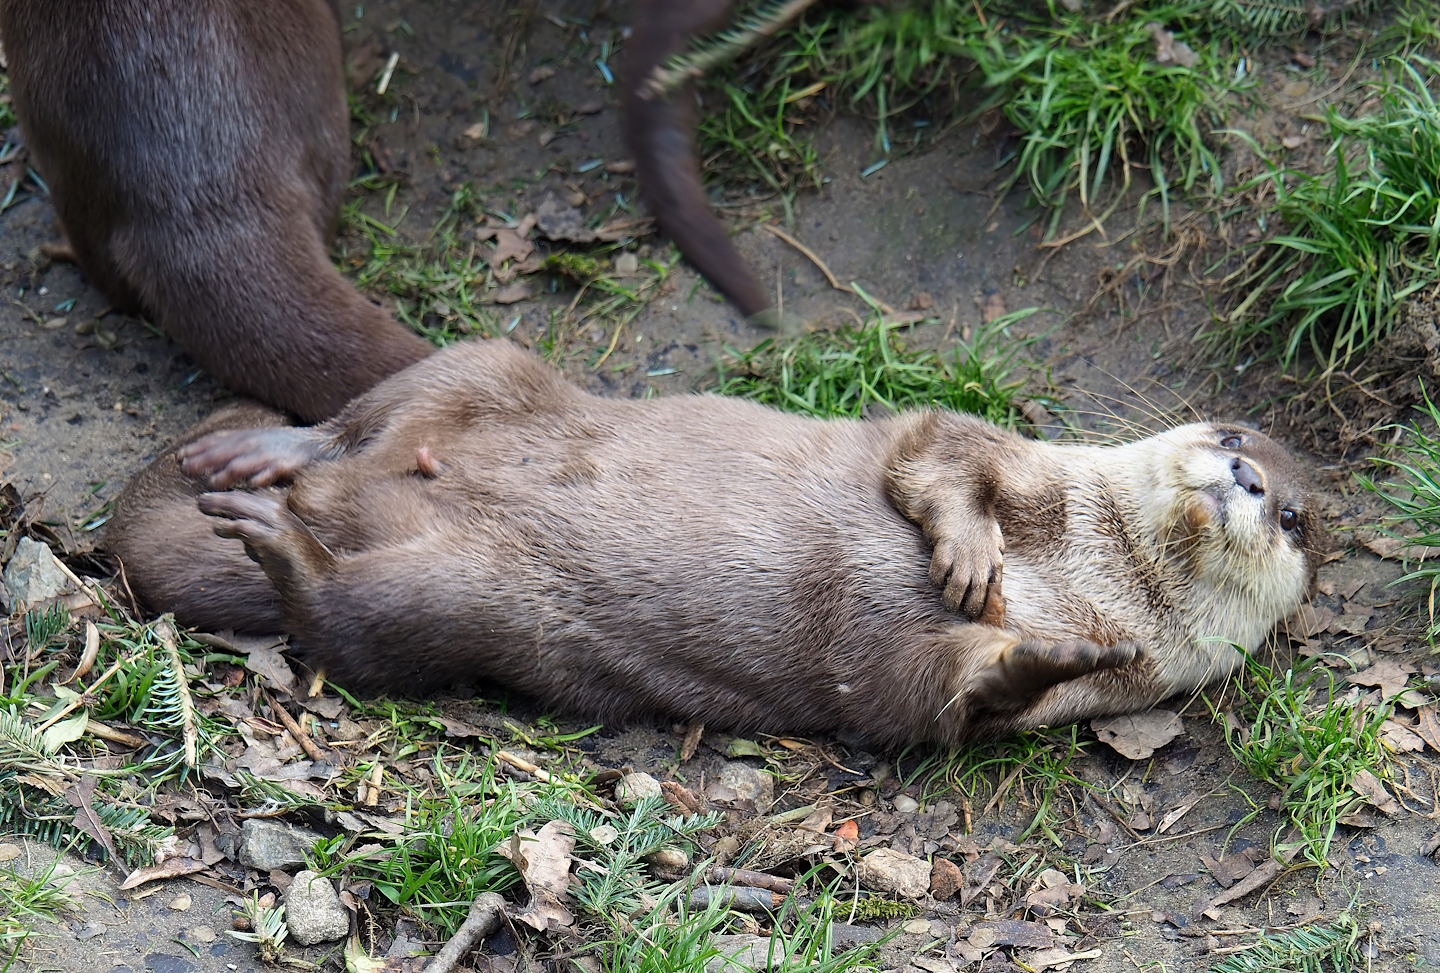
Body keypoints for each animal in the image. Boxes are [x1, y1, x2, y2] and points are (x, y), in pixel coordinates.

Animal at [106, 339, 1324, 746]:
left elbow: (945, 695)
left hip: (477, 596)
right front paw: (969, 554)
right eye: (1231, 435)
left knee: (352, 620)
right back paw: (260, 458)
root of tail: (343, 504)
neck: (1079, 563)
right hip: (485, 368)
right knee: (362, 419)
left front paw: (1053, 654)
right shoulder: (1016, 457)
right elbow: (933, 452)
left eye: (1297, 519)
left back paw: (276, 534)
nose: (1251, 479)